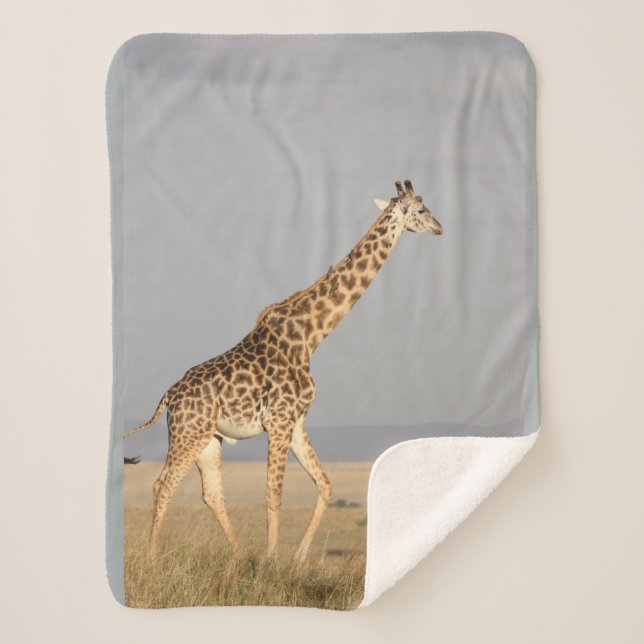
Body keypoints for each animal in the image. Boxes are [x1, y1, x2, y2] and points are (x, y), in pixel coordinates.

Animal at [124, 180, 443, 563]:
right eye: (422, 210)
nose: (440, 228)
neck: (311, 335)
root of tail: (169, 396)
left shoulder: (296, 421)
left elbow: (325, 484)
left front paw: (298, 559)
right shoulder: (278, 420)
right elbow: (274, 494)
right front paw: (272, 560)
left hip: (209, 439)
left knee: (211, 493)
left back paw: (239, 555)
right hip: (188, 433)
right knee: (163, 484)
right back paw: (153, 557)